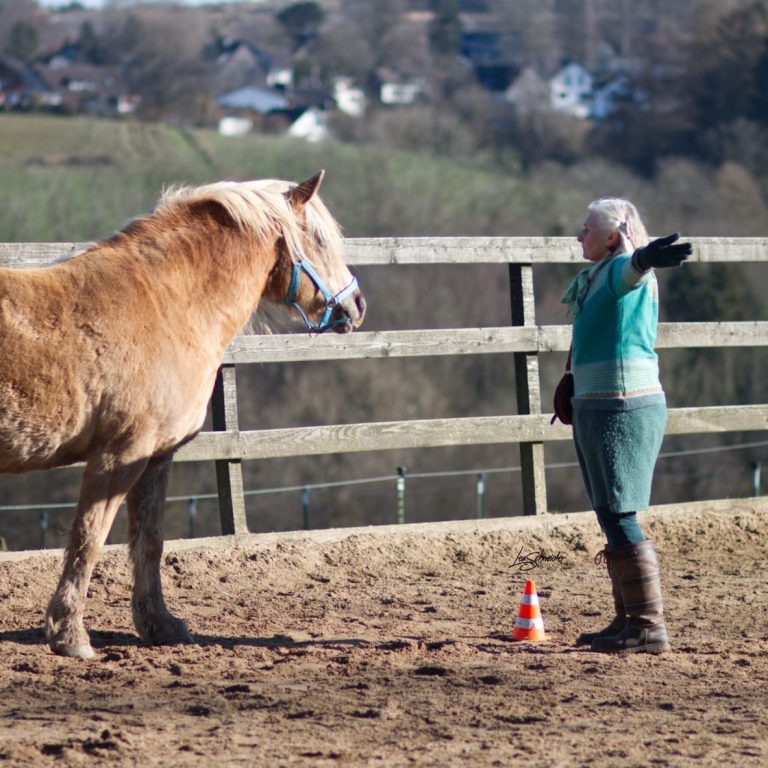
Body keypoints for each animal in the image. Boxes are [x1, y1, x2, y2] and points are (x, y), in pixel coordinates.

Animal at [0, 171, 366, 656]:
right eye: (321, 239)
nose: (356, 305)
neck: (166, 304)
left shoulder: (155, 457)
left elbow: (149, 541)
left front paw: (160, 624)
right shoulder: (118, 456)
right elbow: (88, 539)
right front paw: (69, 634)